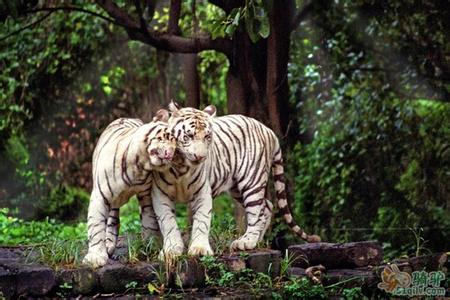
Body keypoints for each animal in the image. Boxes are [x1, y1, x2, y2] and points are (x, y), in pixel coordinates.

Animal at [82, 109, 176, 268]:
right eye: (165, 137)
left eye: (177, 143)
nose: (171, 154)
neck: (139, 166)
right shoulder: (100, 195)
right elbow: (96, 227)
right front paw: (96, 257)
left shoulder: (146, 195)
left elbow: (149, 221)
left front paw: (150, 247)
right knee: (113, 219)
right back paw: (109, 245)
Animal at [151, 101, 320, 260]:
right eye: (188, 136)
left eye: (207, 137)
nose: (201, 157)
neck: (181, 167)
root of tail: (268, 130)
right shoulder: (160, 195)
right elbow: (168, 223)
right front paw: (171, 250)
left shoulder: (202, 193)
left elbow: (202, 221)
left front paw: (199, 250)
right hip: (237, 188)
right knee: (267, 206)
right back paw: (256, 241)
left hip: (251, 181)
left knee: (256, 212)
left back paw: (247, 242)